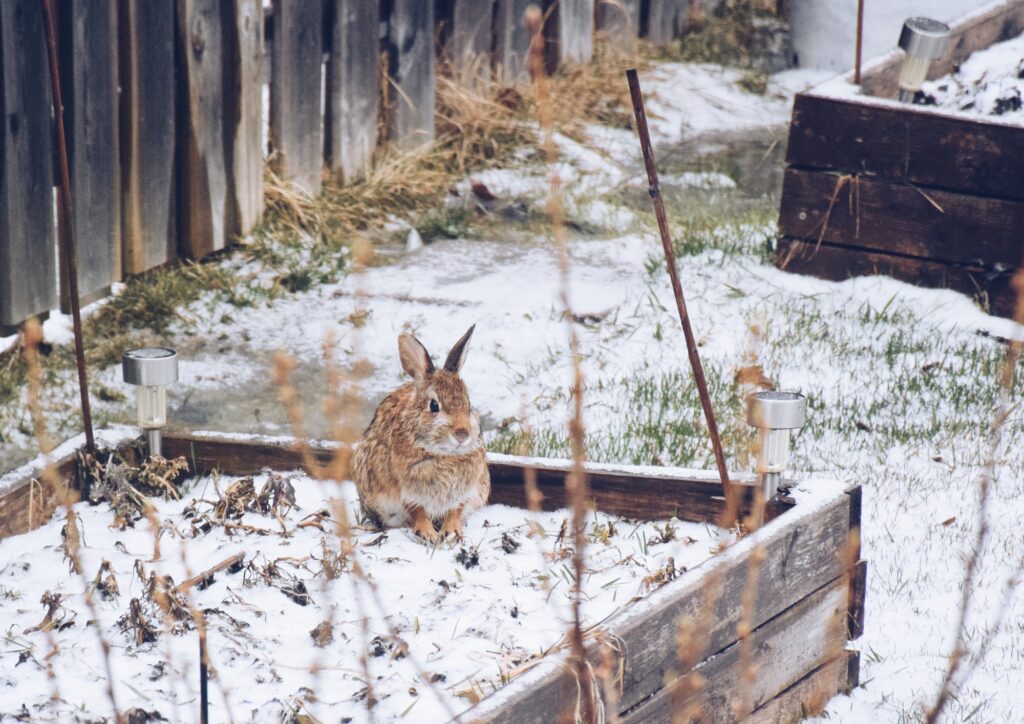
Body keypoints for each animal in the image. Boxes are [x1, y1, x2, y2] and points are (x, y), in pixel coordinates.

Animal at [352, 325, 491, 540]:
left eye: (468, 405)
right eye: (434, 405)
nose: (462, 434)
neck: (443, 454)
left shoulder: (465, 490)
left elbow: (455, 510)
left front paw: (451, 532)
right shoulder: (407, 490)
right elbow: (416, 510)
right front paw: (427, 534)